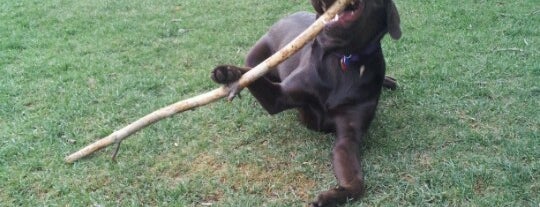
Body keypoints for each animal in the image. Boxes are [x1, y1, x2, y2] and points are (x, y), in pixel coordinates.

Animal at [211, 0, 400, 206]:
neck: (344, 57)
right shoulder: (280, 96)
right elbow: (252, 77)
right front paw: (229, 73)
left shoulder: (348, 137)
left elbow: (358, 183)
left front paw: (335, 195)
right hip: (255, 56)